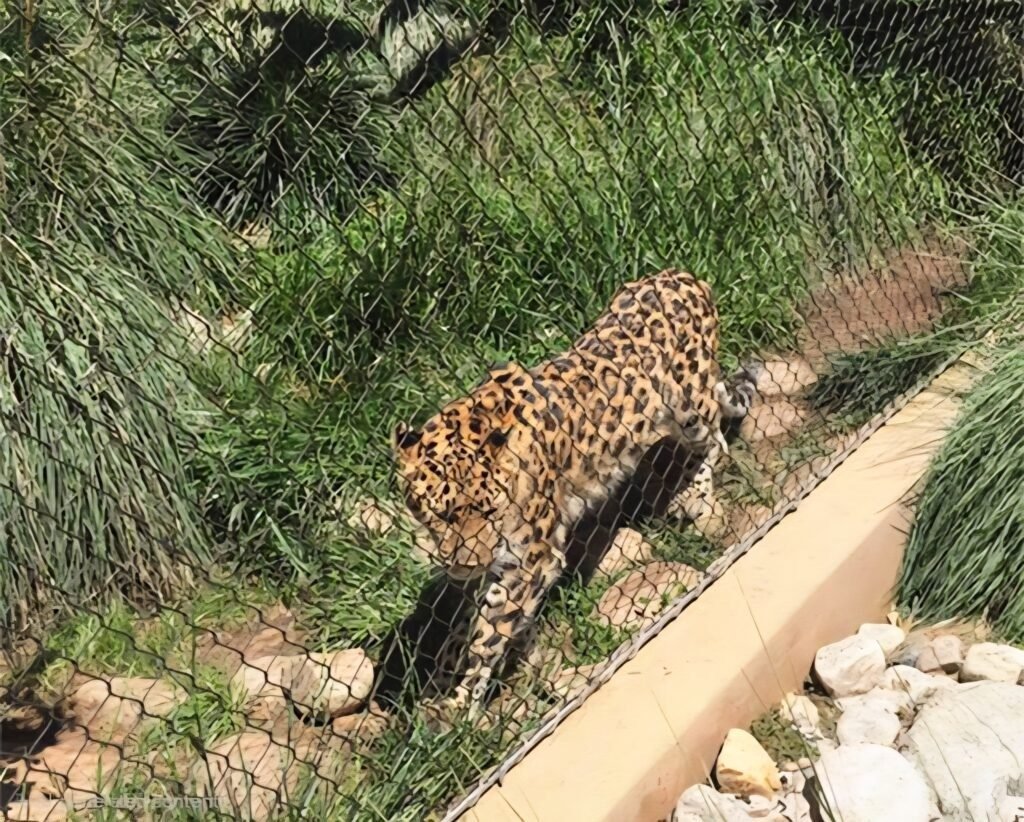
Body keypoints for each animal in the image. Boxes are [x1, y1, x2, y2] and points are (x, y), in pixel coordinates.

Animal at [392, 268, 759, 716]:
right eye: (441, 514)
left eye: (490, 511)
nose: (465, 564)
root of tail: (683, 275)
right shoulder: (503, 566)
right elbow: (472, 626)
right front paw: (448, 683)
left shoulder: (531, 559)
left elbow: (487, 632)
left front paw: (461, 705)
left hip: (690, 408)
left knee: (715, 441)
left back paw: (696, 497)